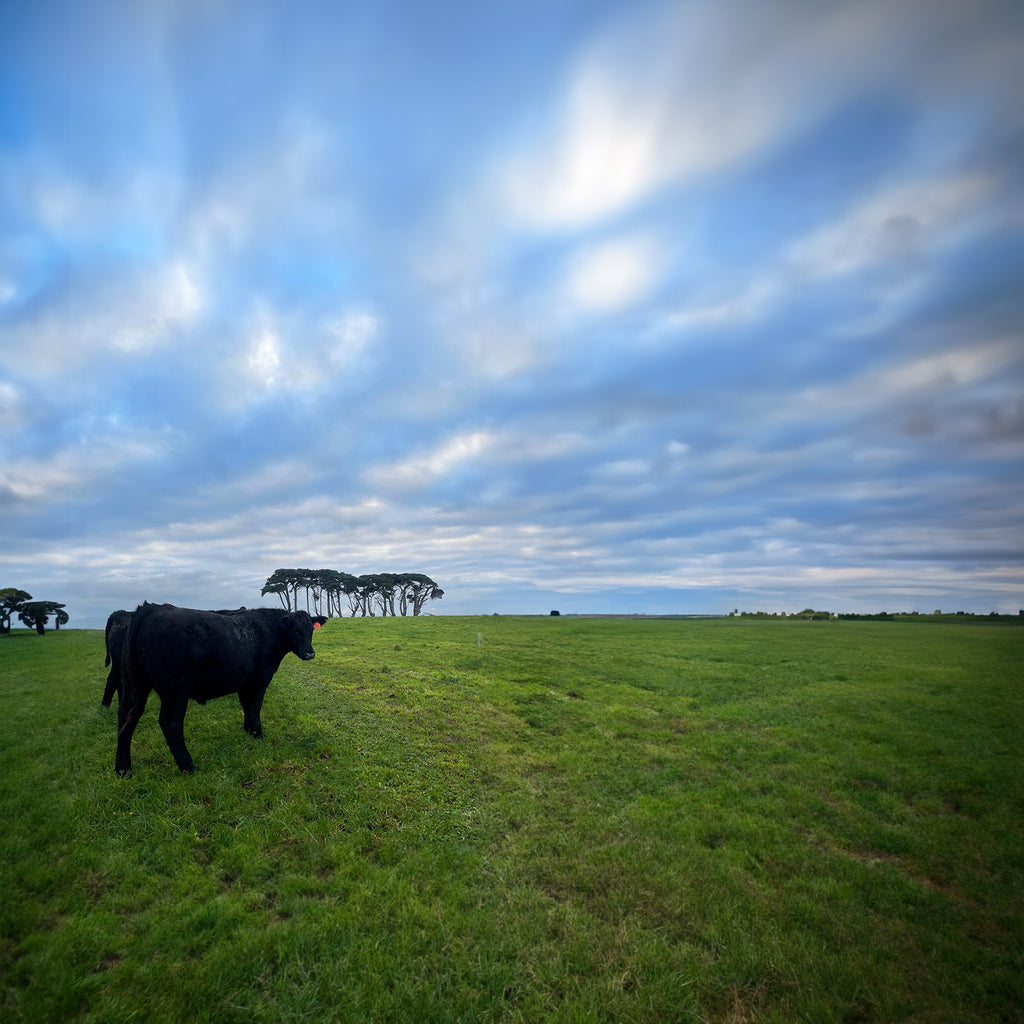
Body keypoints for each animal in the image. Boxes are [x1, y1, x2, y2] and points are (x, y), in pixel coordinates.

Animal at [115, 598, 315, 774]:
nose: (310, 653)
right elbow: (254, 706)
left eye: (311, 630)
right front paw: (258, 735)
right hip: (175, 692)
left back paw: (123, 769)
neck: (265, 631)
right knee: (170, 724)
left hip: (135, 686)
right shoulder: (260, 679)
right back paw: (188, 767)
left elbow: (247, 706)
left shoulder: (244, 682)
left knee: (125, 718)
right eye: (296, 631)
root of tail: (151, 609)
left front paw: (249, 732)